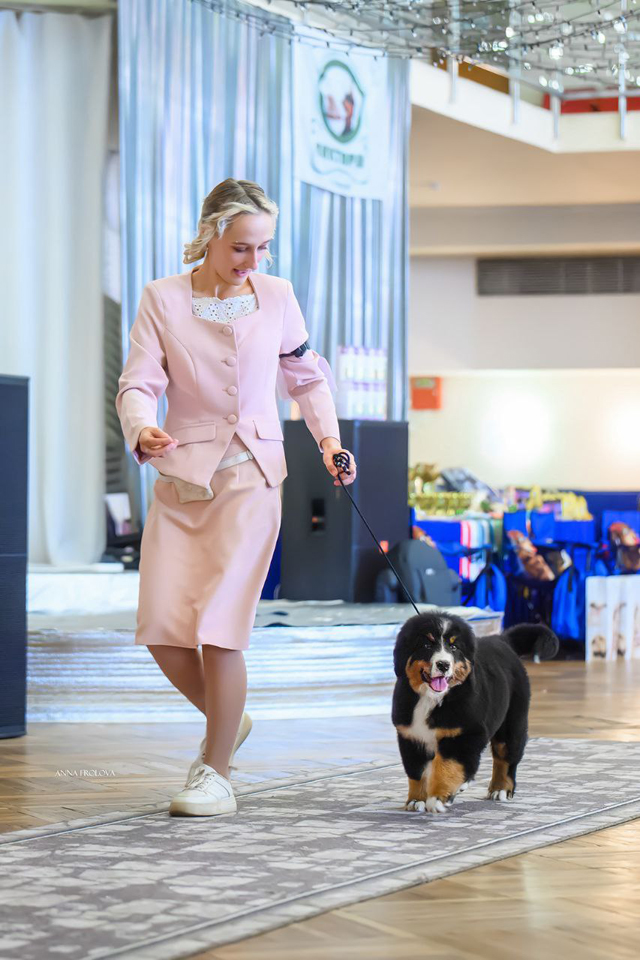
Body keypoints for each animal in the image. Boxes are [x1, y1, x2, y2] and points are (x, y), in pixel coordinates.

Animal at [391, 611, 559, 813]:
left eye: (453, 647)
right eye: (426, 645)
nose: (443, 664)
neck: (431, 699)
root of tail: (502, 639)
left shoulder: (463, 734)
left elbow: (446, 766)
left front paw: (438, 797)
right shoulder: (411, 737)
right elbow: (417, 771)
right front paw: (416, 800)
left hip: (512, 722)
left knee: (506, 757)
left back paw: (501, 788)